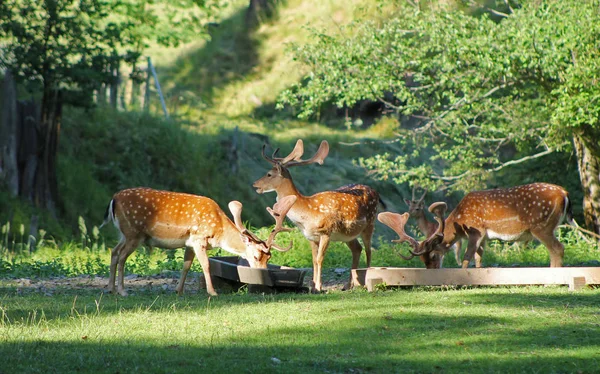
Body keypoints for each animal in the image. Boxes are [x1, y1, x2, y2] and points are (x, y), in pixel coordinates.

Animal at [101, 188, 298, 296]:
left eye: (269, 257)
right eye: (257, 256)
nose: (263, 276)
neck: (219, 232)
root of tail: (113, 200)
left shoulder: (189, 243)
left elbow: (186, 266)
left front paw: (178, 291)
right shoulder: (199, 238)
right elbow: (205, 265)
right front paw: (212, 292)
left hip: (125, 234)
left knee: (114, 252)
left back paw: (110, 289)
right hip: (133, 233)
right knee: (121, 257)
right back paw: (122, 291)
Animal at [253, 140, 380, 292]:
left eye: (269, 174)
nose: (254, 184)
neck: (306, 213)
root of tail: (374, 190)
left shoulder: (326, 232)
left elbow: (320, 259)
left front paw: (319, 287)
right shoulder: (311, 236)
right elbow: (313, 260)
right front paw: (313, 287)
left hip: (370, 223)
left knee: (368, 251)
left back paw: (366, 282)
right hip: (347, 234)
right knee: (357, 249)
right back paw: (347, 285)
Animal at [384, 182, 572, 268]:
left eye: (434, 256)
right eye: (422, 260)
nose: (432, 273)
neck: (460, 221)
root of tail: (564, 193)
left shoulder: (476, 230)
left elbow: (467, 257)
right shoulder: (485, 237)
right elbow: (478, 258)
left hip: (542, 226)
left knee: (557, 249)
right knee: (556, 249)